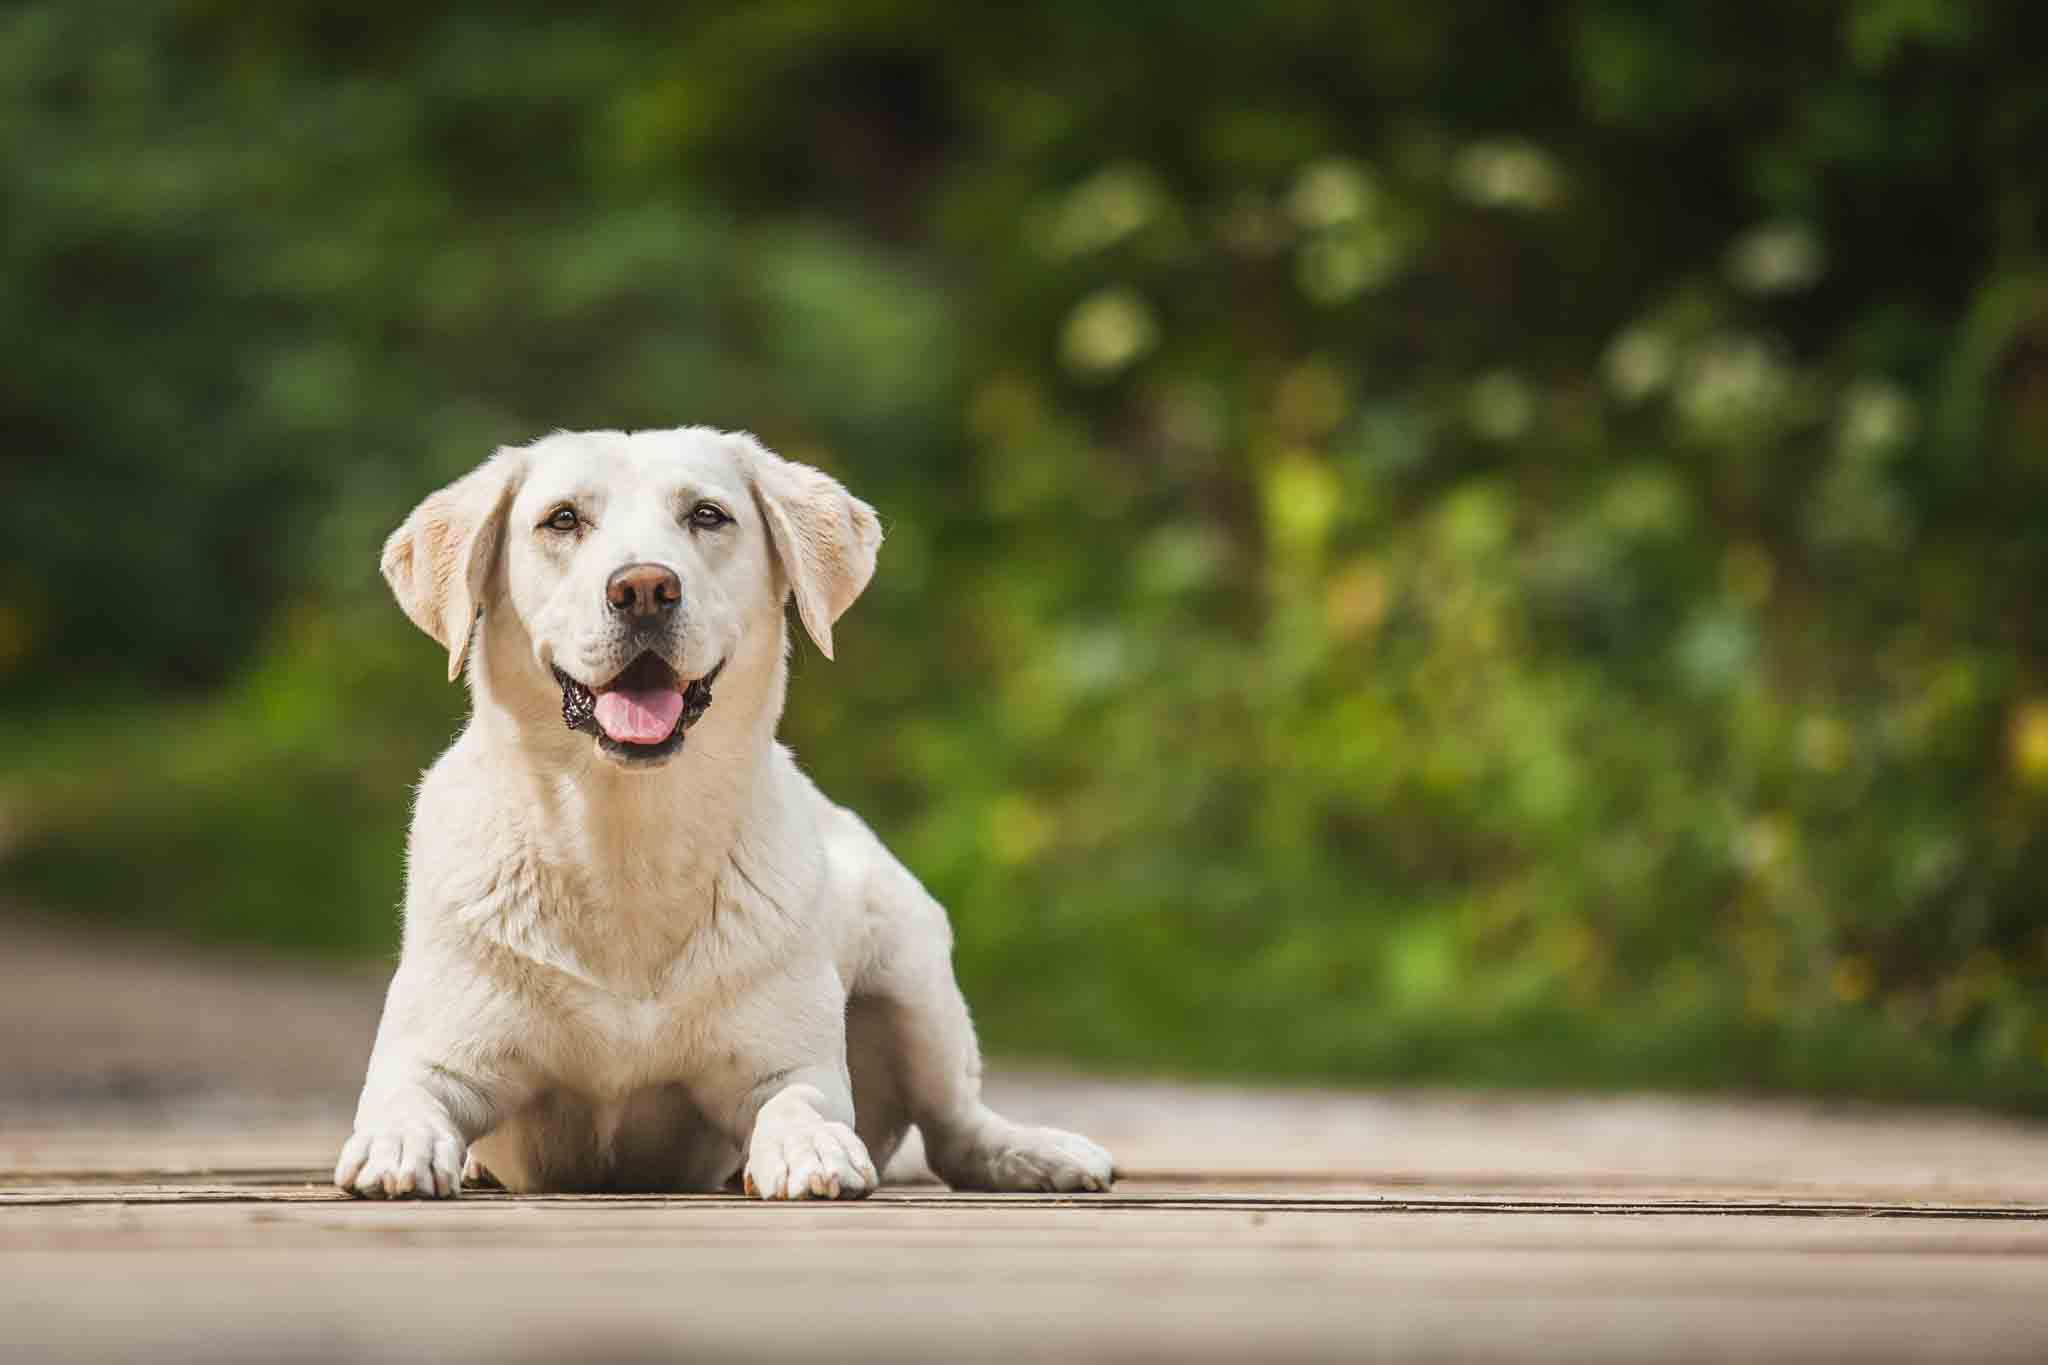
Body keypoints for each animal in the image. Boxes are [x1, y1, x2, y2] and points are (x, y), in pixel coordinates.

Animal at [331, 423, 1122, 1195]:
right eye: (562, 519)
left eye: (708, 515)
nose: (644, 588)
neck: (627, 841)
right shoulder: (435, 1057)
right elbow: (402, 1097)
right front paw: (399, 1145)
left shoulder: (790, 1065)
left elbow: (800, 1102)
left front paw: (809, 1146)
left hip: (914, 968)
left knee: (958, 1126)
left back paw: (1037, 1152)